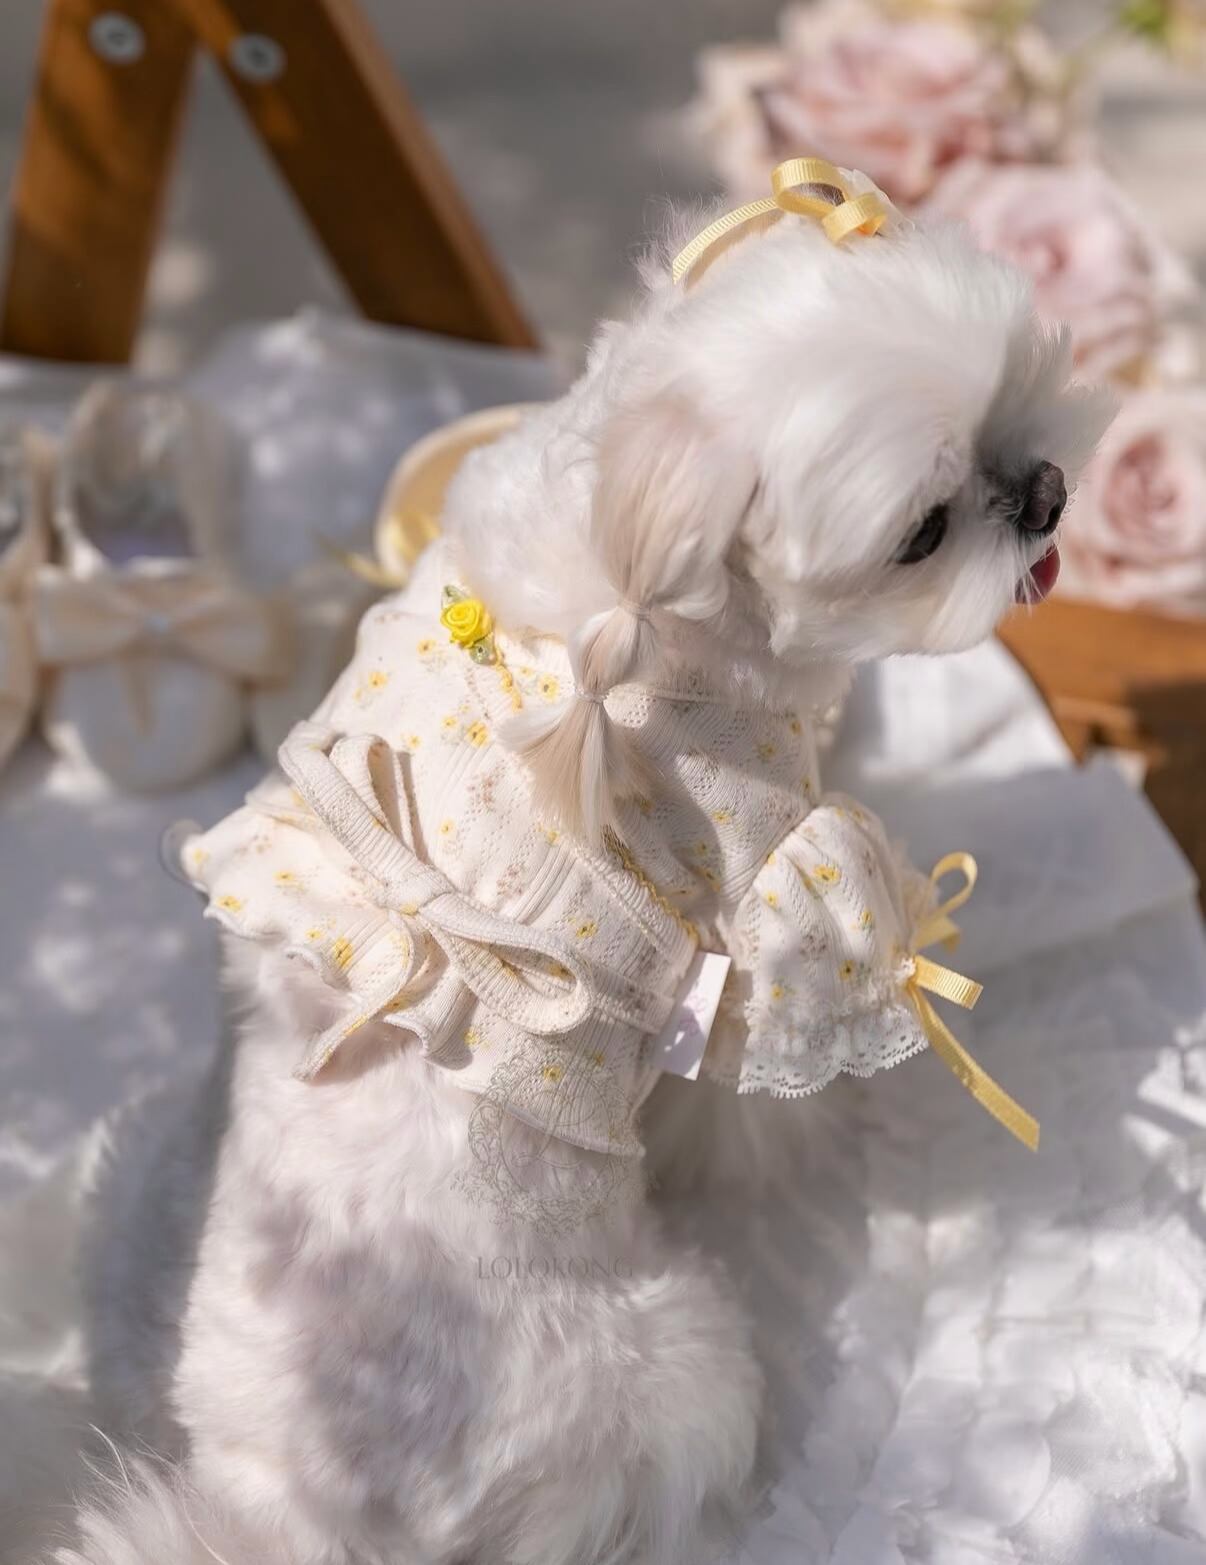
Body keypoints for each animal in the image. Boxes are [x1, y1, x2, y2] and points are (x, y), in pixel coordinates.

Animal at [58, 167, 1110, 1565]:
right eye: (924, 531)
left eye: (1027, 378)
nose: (1044, 492)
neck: (628, 560)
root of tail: (312, 1519)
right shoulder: (755, 892)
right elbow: (761, 1084)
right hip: (677, 1362)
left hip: (138, 1193)